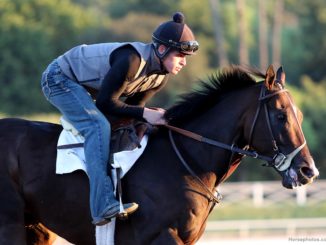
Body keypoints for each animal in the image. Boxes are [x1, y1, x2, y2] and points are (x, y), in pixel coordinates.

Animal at [0, 64, 318, 244]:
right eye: (280, 116)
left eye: (301, 115)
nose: (309, 171)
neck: (187, 162)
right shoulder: (162, 235)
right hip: (11, 224)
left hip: (38, 229)